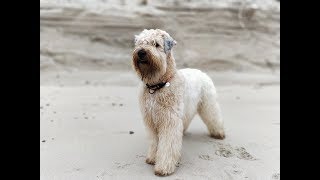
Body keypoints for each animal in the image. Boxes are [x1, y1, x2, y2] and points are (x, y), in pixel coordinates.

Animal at [130, 29, 225, 176]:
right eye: (140, 43)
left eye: (156, 44)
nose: (141, 52)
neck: (157, 86)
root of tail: (201, 72)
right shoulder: (151, 120)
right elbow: (154, 142)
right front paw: (152, 158)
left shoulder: (169, 121)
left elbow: (167, 145)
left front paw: (163, 167)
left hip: (209, 104)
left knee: (214, 117)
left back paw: (219, 133)